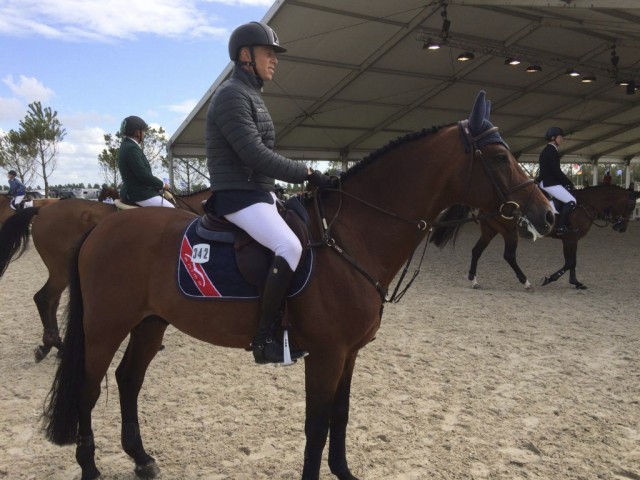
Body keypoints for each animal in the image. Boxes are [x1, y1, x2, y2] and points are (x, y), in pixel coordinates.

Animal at [0, 188, 209, 360]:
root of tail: (42, 210)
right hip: (61, 271)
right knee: (44, 298)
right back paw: (56, 345)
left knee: (52, 301)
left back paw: (50, 346)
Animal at [43, 92, 556, 480]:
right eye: (499, 156)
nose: (548, 214)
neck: (351, 236)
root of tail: (102, 225)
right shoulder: (326, 354)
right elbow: (316, 426)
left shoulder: (349, 353)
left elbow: (340, 417)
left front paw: (345, 473)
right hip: (105, 326)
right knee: (88, 388)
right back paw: (89, 468)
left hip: (151, 322)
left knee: (128, 380)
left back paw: (141, 459)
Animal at [432, 184, 636, 288]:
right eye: (631, 205)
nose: (622, 228)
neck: (584, 204)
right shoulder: (569, 238)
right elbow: (569, 262)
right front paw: (549, 279)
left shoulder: (574, 239)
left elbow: (573, 262)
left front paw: (576, 282)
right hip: (509, 231)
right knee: (509, 256)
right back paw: (525, 281)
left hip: (491, 230)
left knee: (476, 251)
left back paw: (474, 280)